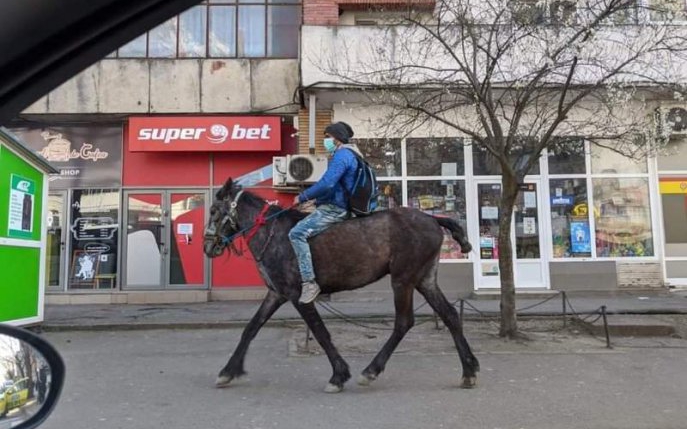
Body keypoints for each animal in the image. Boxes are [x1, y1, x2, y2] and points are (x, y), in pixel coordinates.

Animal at [204, 177, 478, 392]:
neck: (273, 234)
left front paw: (338, 375)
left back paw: (371, 371)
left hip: (402, 280)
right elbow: (251, 328)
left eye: (214, 211)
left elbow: (320, 332)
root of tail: (432, 219)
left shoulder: (297, 295)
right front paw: (228, 371)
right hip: (424, 279)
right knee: (450, 315)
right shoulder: (276, 293)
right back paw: (469, 370)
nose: (207, 247)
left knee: (404, 322)